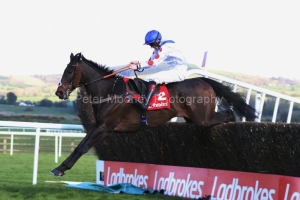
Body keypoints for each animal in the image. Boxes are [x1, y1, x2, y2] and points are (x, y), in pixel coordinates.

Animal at [51, 52, 258, 176]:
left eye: (70, 70)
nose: (59, 92)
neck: (111, 91)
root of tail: (203, 80)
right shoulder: (98, 125)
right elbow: (81, 145)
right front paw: (59, 167)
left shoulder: (106, 126)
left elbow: (82, 147)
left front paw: (60, 169)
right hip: (192, 118)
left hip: (203, 118)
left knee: (228, 113)